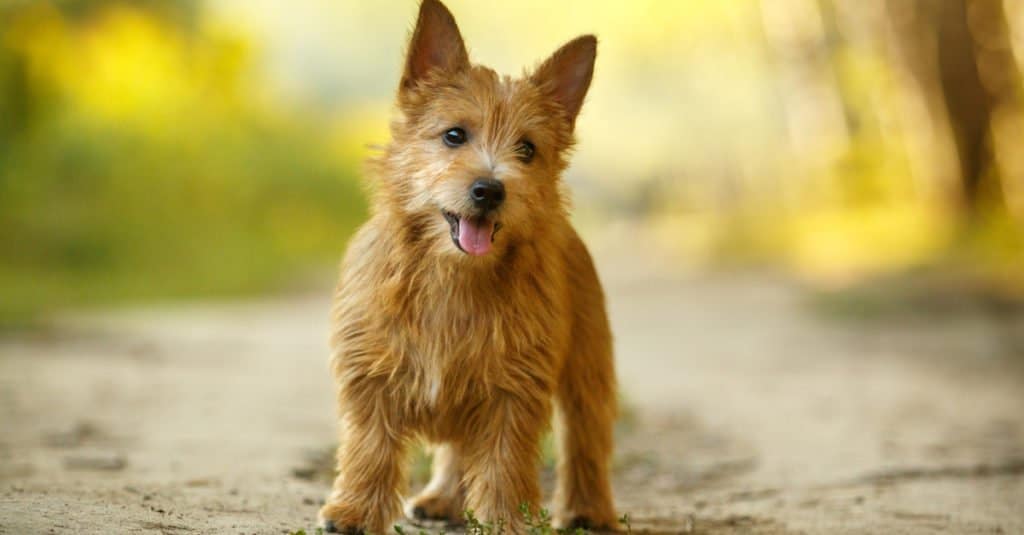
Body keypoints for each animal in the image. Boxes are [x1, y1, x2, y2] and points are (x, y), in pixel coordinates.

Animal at [319, 1, 614, 528]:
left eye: (527, 148)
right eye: (454, 135)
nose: (490, 189)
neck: (451, 276)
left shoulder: (513, 389)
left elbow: (503, 463)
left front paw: (505, 522)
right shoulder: (371, 374)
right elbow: (370, 448)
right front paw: (354, 511)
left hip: (587, 365)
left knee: (586, 436)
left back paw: (587, 510)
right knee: (457, 448)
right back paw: (441, 499)